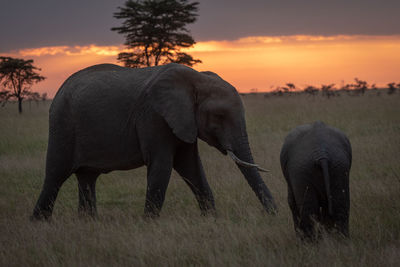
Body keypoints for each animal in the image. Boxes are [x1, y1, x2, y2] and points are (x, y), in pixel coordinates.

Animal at [31, 62, 276, 220]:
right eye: (220, 116)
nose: (273, 215)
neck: (197, 79)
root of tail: (59, 90)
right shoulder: (154, 116)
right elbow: (162, 165)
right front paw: (149, 224)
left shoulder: (184, 121)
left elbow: (191, 166)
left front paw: (211, 220)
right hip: (62, 125)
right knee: (55, 175)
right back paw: (40, 223)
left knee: (87, 178)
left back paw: (88, 223)